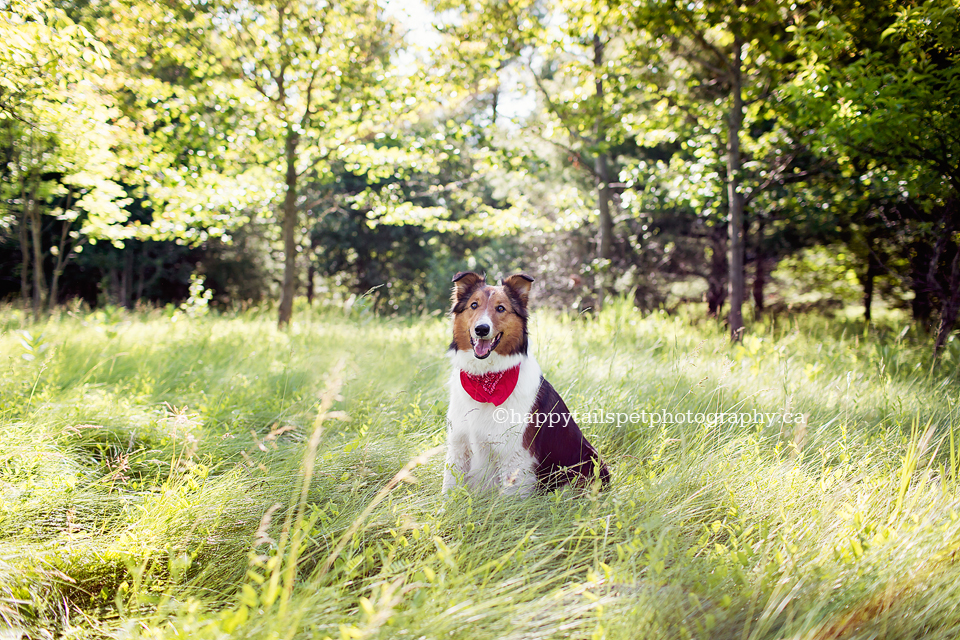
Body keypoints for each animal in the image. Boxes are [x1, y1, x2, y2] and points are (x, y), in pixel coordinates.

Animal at [440, 270, 608, 496]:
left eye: (500, 308)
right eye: (474, 305)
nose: (481, 329)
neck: (486, 377)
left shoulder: (515, 454)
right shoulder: (459, 444)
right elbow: (449, 488)